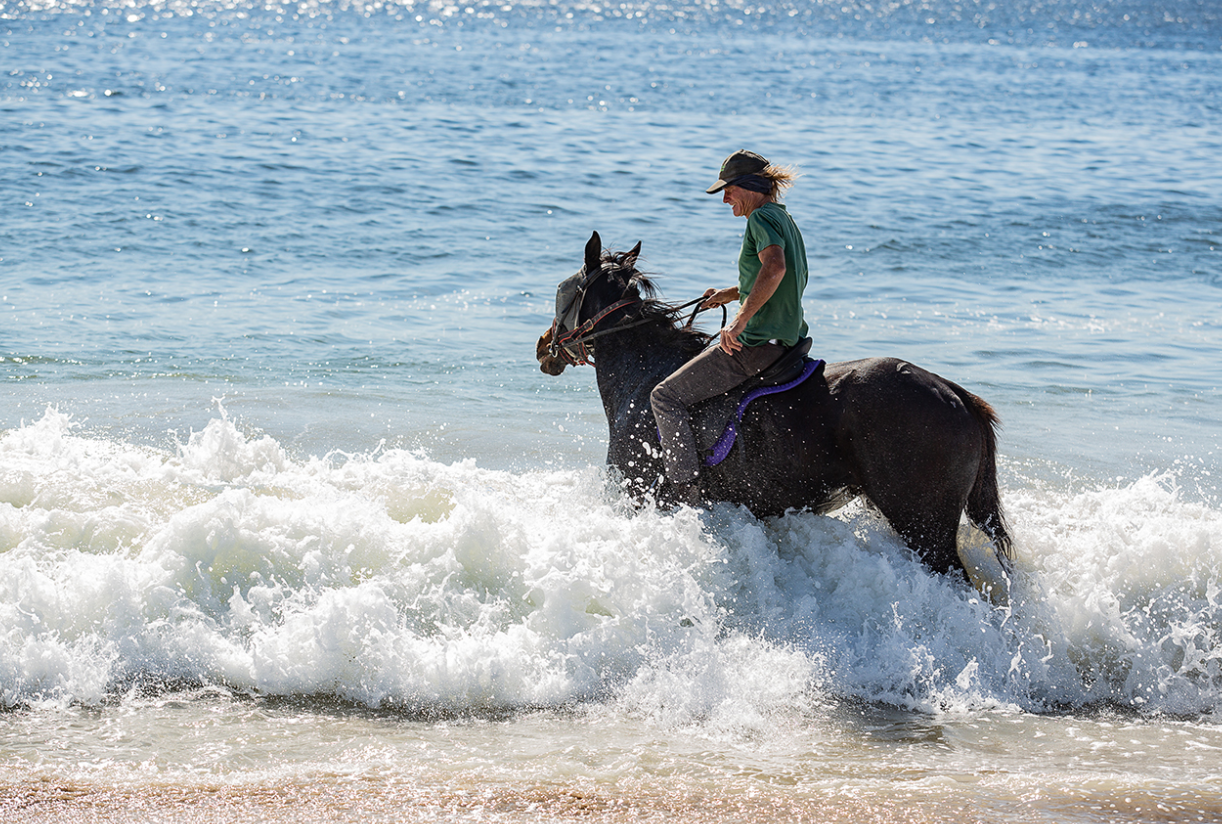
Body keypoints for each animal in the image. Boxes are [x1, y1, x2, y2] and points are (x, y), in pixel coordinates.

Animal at [536, 231, 1012, 579]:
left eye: (563, 290)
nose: (544, 347)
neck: (643, 373)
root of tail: (955, 394)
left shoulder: (637, 500)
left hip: (924, 527)